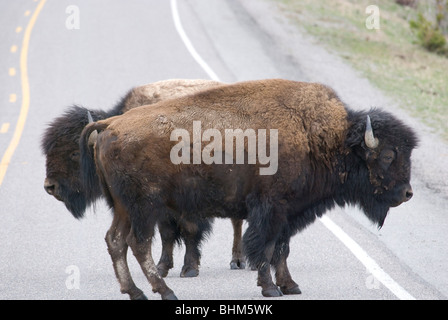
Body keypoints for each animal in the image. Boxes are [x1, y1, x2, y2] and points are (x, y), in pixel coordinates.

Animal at [40, 79, 247, 282]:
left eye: (74, 153)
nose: (50, 186)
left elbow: (190, 230)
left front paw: (189, 269)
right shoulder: (161, 208)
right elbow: (167, 234)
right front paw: (162, 267)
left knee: (237, 222)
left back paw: (238, 261)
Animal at [79, 79, 416, 298]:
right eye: (388, 154)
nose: (407, 193)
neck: (319, 136)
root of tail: (110, 125)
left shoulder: (288, 214)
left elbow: (282, 249)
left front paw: (290, 286)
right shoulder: (271, 210)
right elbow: (265, 248)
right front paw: (270, 288)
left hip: (123, 208)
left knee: (115, 241)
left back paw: (134, 291)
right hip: (144, 207)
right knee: (138, 243)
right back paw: (165, 291)